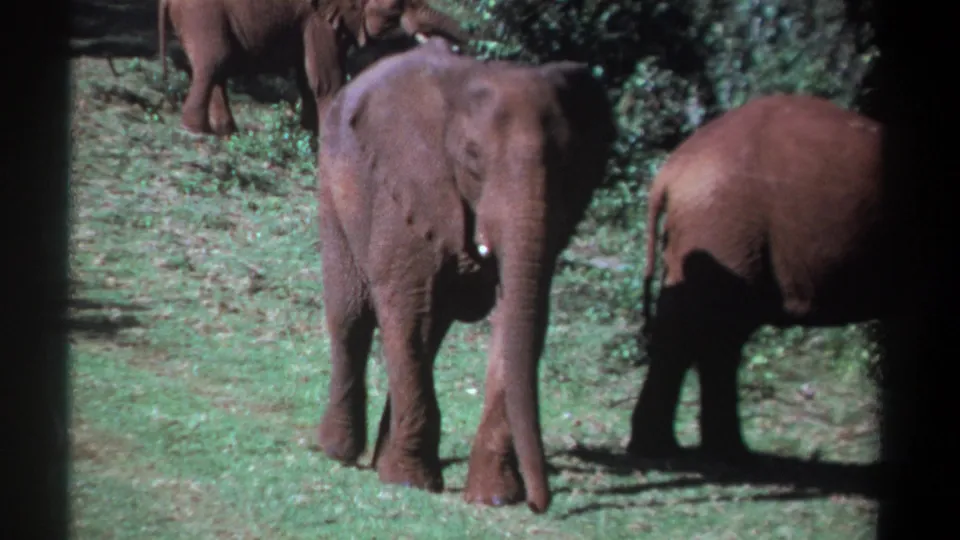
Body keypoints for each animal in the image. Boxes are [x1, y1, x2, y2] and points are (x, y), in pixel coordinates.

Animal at [157, 0, 470, 137]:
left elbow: (309, 77)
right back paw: (196, 131)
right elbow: (327, 77)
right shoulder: (318, 17)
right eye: (397, 6)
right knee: (214, 63)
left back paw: (226, 131)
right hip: (201, 15)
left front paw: (311, 132)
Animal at [313, 38, 616, 514]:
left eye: (566, 162)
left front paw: (494, 497)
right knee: (352, 318)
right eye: (472, 158)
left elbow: (517, 323)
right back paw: (338, 452)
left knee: (429, 336)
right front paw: (408, 482)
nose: (540, 504)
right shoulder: (410, 189)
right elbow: (406, 310)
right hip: (332, 184)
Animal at [629, 93, 910, 461]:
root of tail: (671, 170)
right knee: (701, 331)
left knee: (713, 335)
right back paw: (670, 452)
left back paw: (718, 453)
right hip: (723, 227)